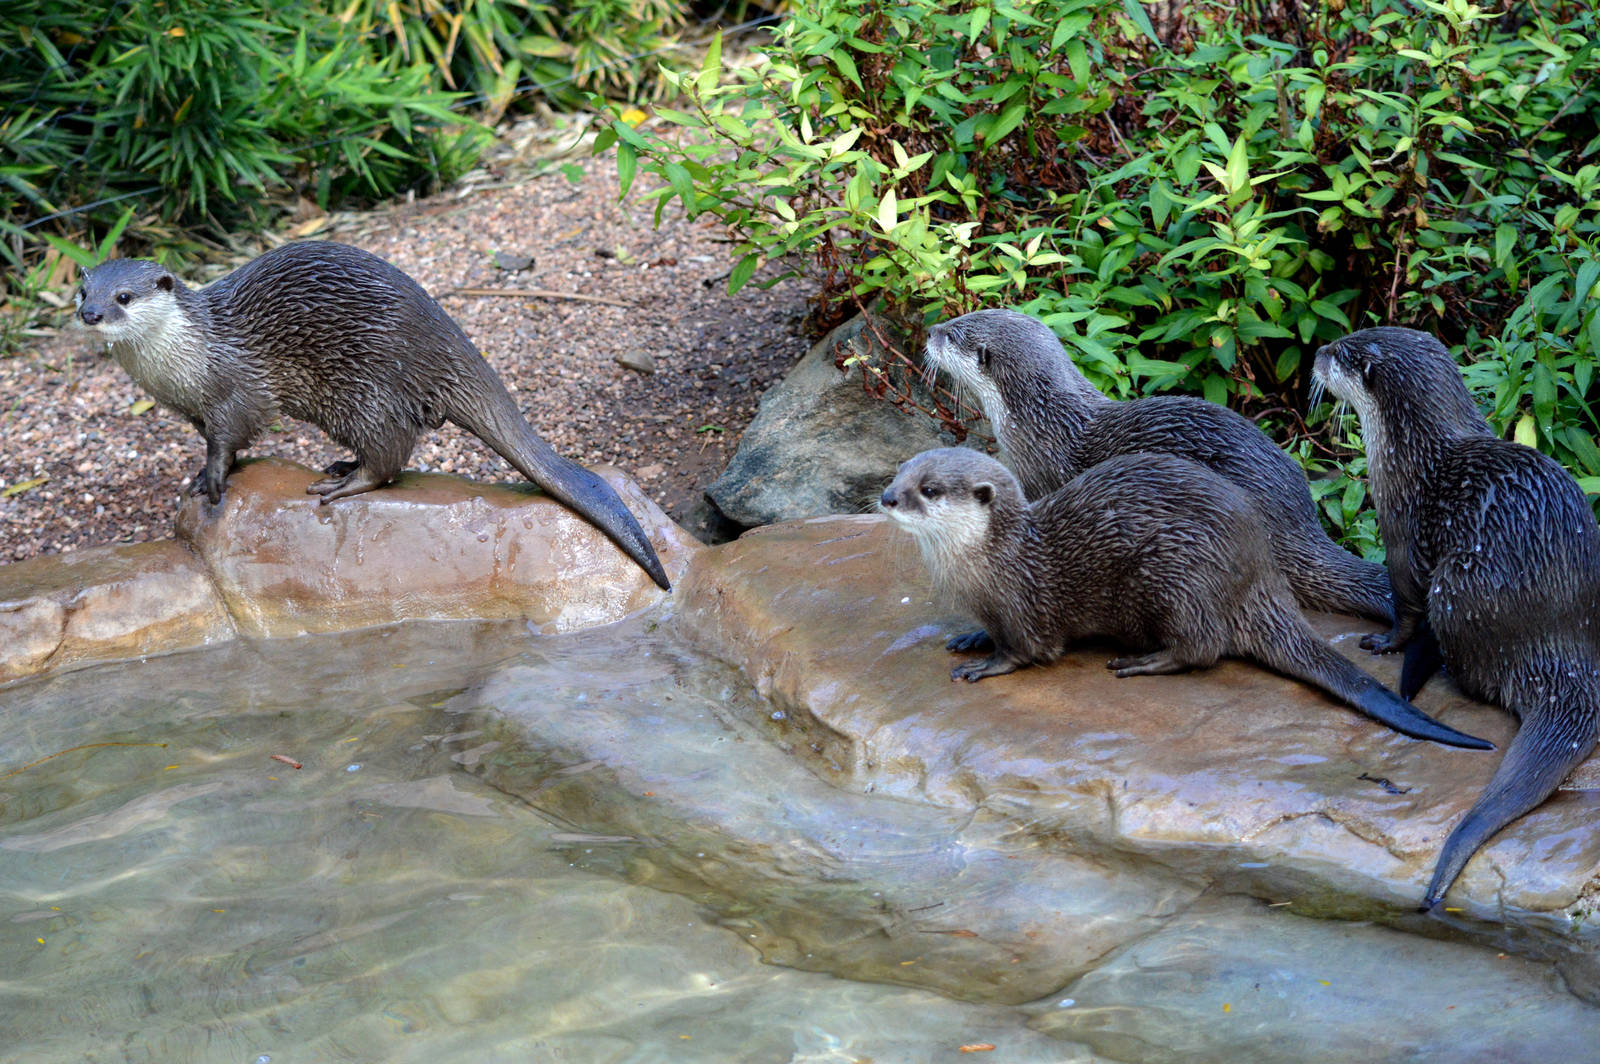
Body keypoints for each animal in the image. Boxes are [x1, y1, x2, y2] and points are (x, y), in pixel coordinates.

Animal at [75, 241, 669, 589]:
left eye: (124, 296)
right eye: (84, 288)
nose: (90, 313)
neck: (186, 360)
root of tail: (444, 340)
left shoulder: (235, 389)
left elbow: (232, 434)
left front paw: (215, 478)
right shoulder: (192, 409)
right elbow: (218, 442)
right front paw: (202, 474)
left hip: (366, 389)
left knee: (389, 457)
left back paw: (345, 483)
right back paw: (340, 467)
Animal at [879, 447, 1491, 750]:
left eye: (928, 490)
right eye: (900, 472)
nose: (886, 497)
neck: (989, 561)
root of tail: (1258, 577)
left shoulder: (1025, 605)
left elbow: (1028, 651)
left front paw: (986, 665)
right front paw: (970, 636)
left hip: (1177, 577)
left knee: (1203, 648)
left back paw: (1142, 661)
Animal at [923, 309, 1393, 653]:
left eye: (953, 334)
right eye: (961, 316)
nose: (929, 330)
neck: (1042, 423)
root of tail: (1295, 518)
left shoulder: (1042, 481)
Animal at [1314, 326, 1600, 908]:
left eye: (1343, 353)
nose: (1316, 354)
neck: (1408, 454)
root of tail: (1562, 648)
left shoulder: (1399, 530)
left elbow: (1403, 603)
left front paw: (1383, 645)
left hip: (1459, 588)